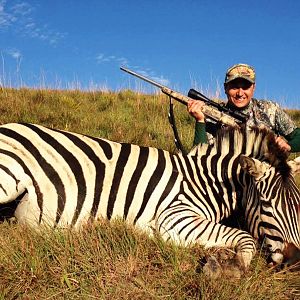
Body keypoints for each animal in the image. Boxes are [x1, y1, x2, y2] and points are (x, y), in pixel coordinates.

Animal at [0, 122, 298, 272]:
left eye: (297, 205)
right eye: (267, 204)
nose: (295, 261)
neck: (203, 182)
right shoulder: (175, 219)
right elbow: (245, 237)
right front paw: (232, 266)